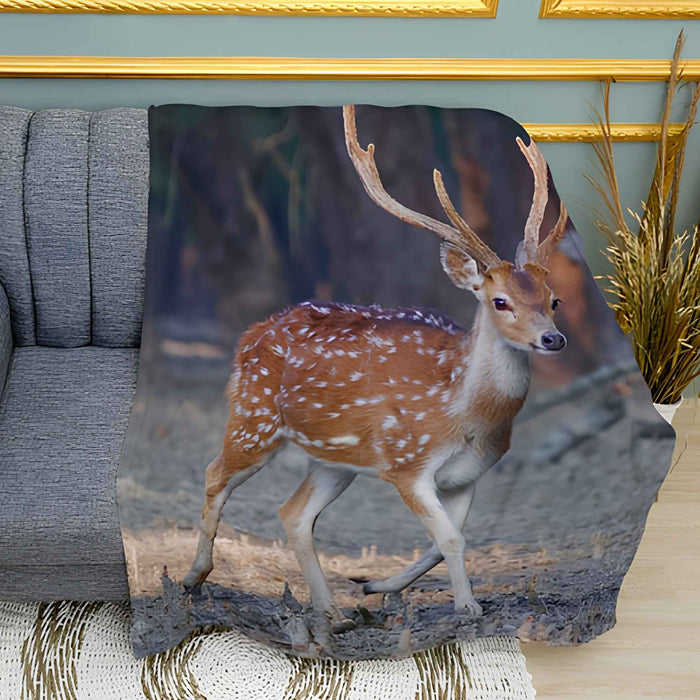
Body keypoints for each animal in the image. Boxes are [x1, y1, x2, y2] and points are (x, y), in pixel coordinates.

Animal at [183, 105, 568, 633]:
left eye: (553, 299)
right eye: (500, 301)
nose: (553, 339)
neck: (466, 415)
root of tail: (250, 334)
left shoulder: (469, 474)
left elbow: (445, 540)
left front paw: (377, 586)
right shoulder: (406, 463)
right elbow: (450, 538)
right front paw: (467, 608)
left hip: (334, 459)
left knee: (293, 512)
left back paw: (332, 612)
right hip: (253, 419)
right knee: (213, 473)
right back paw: (194, 577)